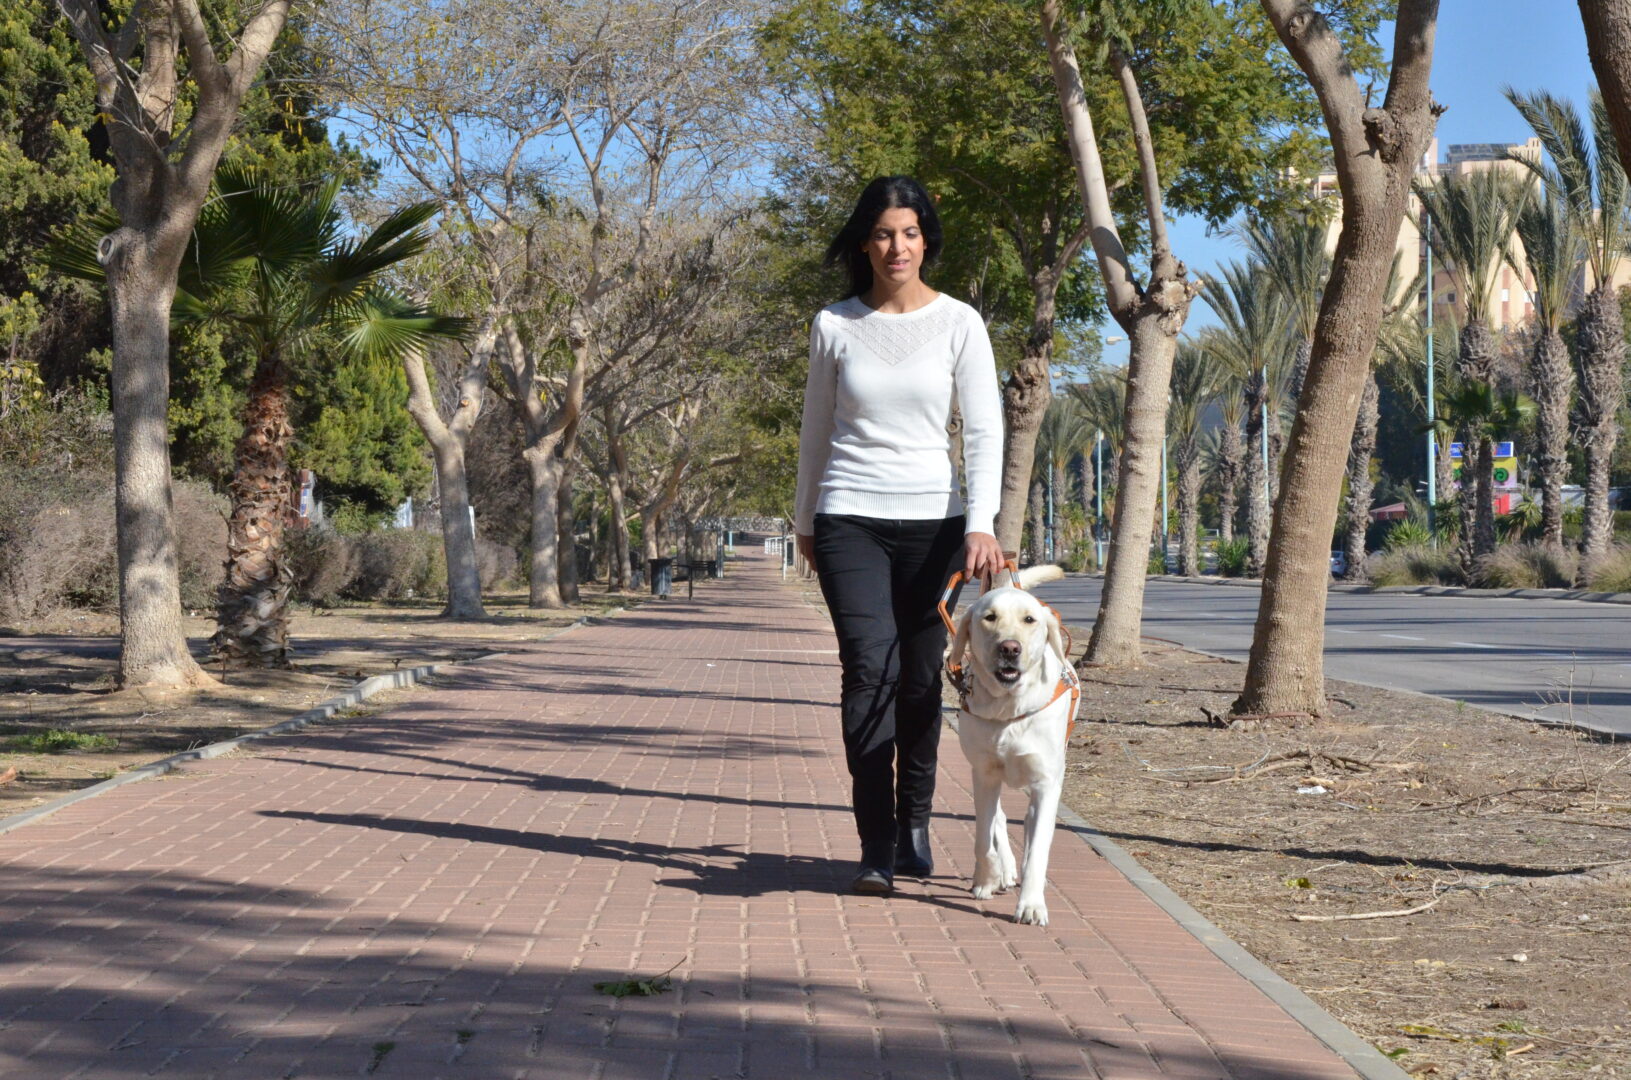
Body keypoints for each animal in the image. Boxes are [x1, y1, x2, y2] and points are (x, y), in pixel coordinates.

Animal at [952, 567, 1076, 933]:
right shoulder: (984, 774)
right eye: (989, 617)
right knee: (997, 820)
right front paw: (988, 878)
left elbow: (1036, 852)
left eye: (1029, 619)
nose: (1009, 648)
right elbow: (983, 837)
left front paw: (1032, 905)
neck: (1009, 710)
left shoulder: (1046, 785)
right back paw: (1000, 871)